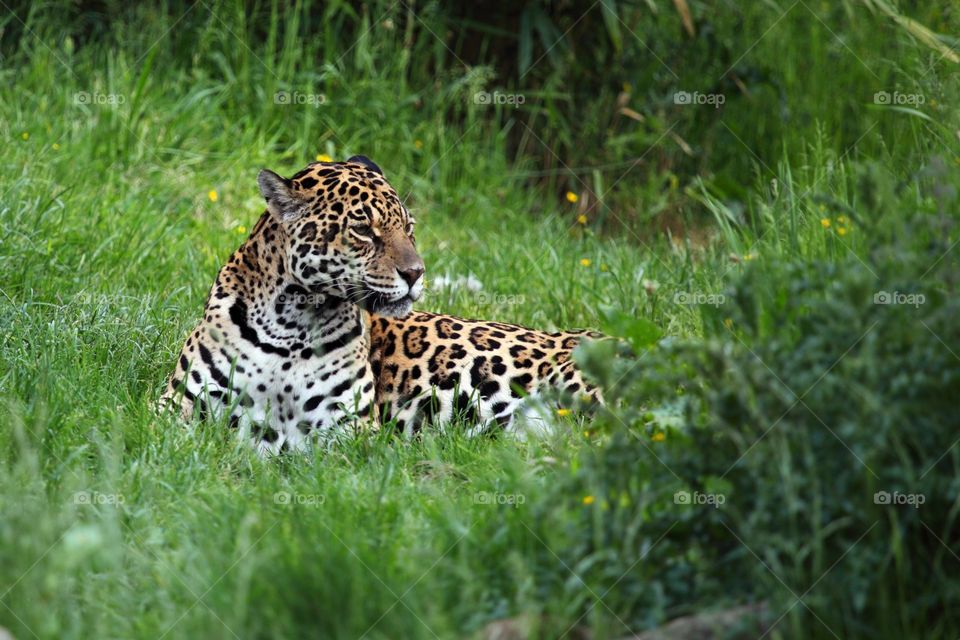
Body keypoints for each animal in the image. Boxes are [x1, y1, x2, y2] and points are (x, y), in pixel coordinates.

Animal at [161, 156, 602, 454]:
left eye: (409, 228)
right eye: (362, 230)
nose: (416, 272)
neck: (291, 323)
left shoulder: (347, 431)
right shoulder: (177, 408)